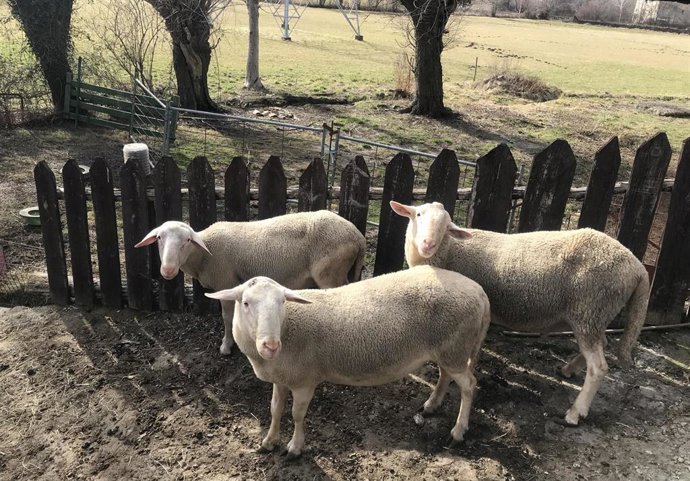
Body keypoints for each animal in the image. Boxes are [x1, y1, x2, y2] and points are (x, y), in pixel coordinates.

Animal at [135, 211, 366, 355]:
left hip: (330, 273)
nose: (167, 270)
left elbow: (227, 317)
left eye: (187, 241)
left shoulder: (225, 281)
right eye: (159, 238)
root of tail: (358, 236)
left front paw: (226, 345)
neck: (205, 254)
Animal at [205, 265, 491, 459]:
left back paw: (458, 431)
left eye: (282, 302)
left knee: (469, 385)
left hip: (455, 346)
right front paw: (268, 442)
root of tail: (480, 293)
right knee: (446, 375)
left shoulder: (304, 381)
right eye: (245, 303)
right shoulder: (283, 377)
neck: (287, 329)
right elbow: (275, 409)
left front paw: (295, 447)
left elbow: (297, 414)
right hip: (449, 348)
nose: (271, 346)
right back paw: (432, 404)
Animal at [390, 201, 650, 427]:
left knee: (598, 367)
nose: (427, 244)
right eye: (418, 215)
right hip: (595, 315)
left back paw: (575, 412)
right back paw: (568, 369)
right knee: (602, 343)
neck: (449, 252)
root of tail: (637, 266)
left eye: (446, 226)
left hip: (590, 308)